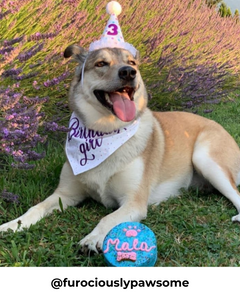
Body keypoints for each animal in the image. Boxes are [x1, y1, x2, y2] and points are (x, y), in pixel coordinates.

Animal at [0, 46, 240, 253]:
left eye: (132, 62)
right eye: (101, 63)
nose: (128, 72)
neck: (106, 133)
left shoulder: (134, 202)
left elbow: (109, 218)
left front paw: (94, 238)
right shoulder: (64, 194)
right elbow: (36, 208)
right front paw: (13, 225)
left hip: (205, 158)